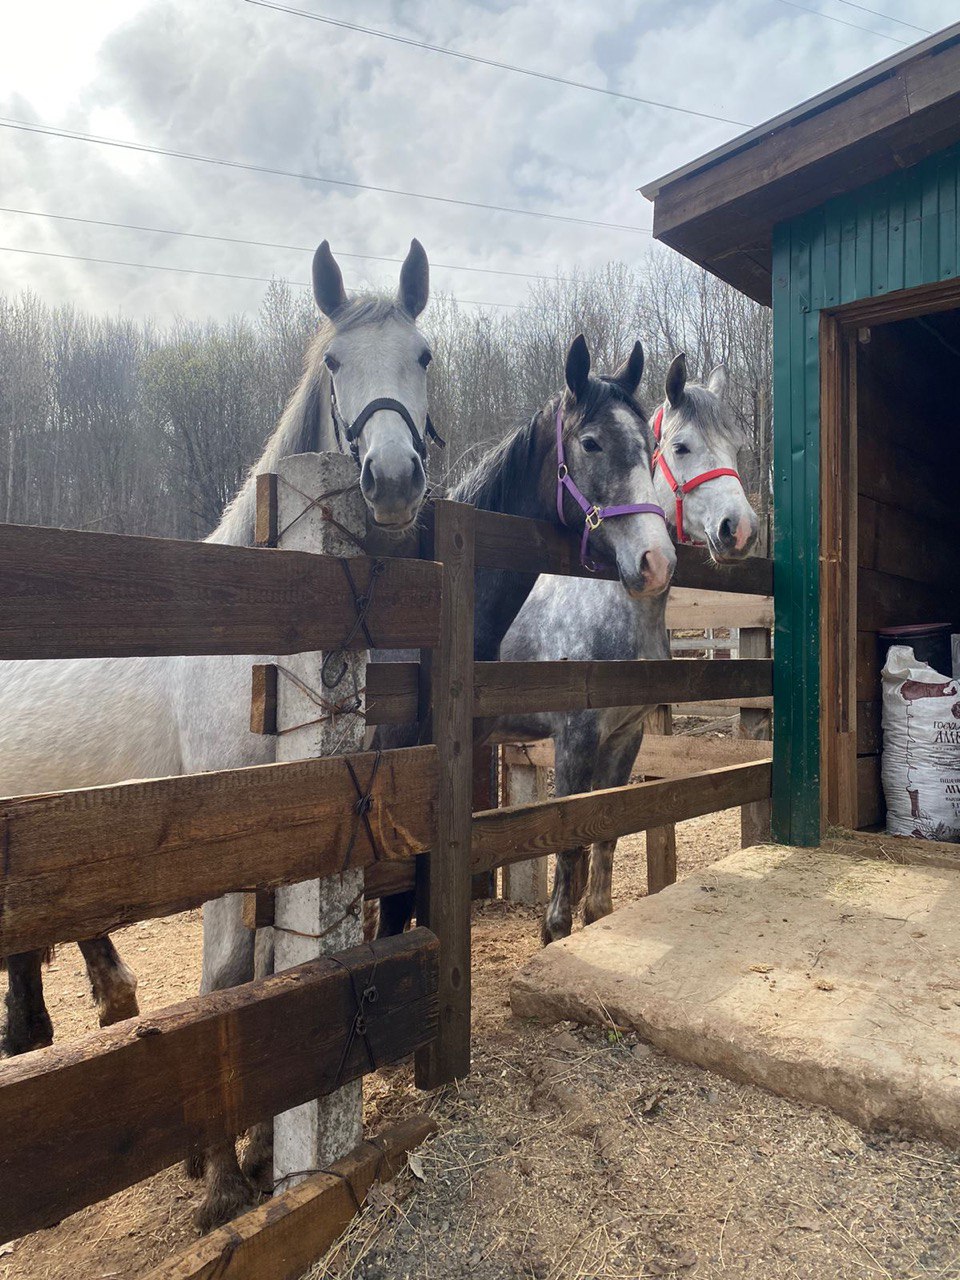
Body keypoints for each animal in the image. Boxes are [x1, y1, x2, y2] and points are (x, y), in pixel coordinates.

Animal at [1, 238, 437, 1228]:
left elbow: (268, 971)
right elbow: (228, 979)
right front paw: (222, 1179)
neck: (260, 633)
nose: (394, 479)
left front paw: (252, 1149)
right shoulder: (218, 846)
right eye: (333, 362)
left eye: (424, 357)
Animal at [376, 335, 675, 936]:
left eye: (651, 445)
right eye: (591, 443)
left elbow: (599, 843)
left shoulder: (621, 737)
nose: (656, 561)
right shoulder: (573, 738)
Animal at [496, 355, 757, 947]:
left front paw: (593, 915)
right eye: (682, 447)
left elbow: (607, 836)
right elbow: (569, 841)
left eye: (736, 448)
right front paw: (554, 931)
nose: (740, 530)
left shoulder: (625, 738)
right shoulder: (573, 740)